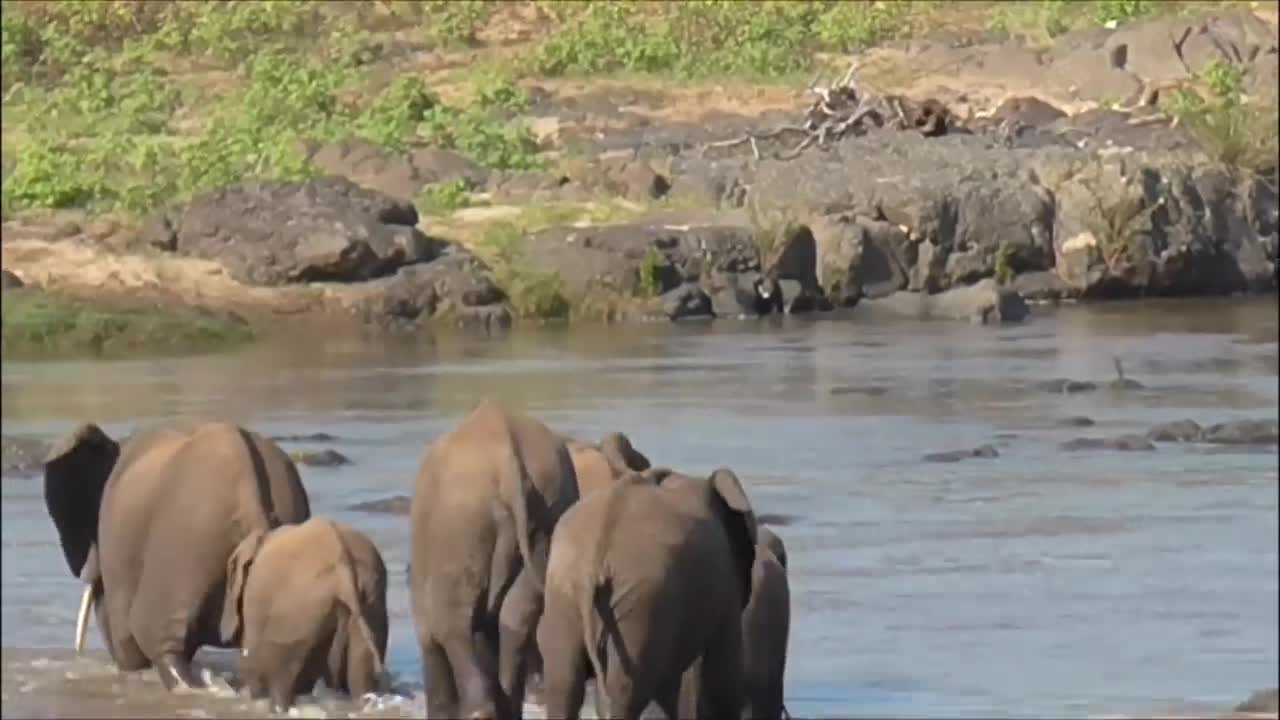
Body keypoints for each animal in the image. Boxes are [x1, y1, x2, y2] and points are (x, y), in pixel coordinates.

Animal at [409, 397, 581, 717]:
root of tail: (509, 464)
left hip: (461, 526)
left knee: (453, 621)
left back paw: (482, 710)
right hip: (551, 511)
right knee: (514, 618)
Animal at [532, 461, 752, 712]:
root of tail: (598, 550)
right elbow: (722, 676)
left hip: (566, 590)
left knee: (564, 683)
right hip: (641, 604)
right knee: (625, 690)